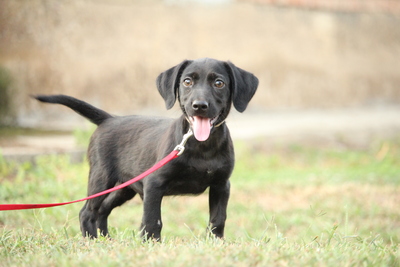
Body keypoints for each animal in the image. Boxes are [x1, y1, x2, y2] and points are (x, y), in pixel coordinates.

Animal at [35, 57, 260, 241]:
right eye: (187, 82)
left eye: (219, 83)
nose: (199, 105)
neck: (202, 145)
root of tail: (109, 119)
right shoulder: (154, 183)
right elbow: (153, 219)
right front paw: (151, 243)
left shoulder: (221, 185)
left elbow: (218, 218)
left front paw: (215, 242)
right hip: (101, 178)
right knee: (87, 212)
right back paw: (92, 241)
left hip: (124, 188)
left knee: (102, 210)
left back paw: (106, 241)